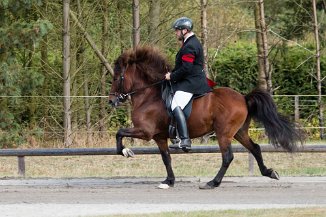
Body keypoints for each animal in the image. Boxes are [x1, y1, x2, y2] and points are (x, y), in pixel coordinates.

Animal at [108, 45, 304, 188]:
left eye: (116, 78)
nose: (111, 101)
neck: (148, 95)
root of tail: (243, 98)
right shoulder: (159, 137)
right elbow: (166, 158)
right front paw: (169, 181)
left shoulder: (145, 131)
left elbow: (119, 132)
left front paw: (125, 151)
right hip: (238, 132)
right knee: (255, 148)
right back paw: (269, 172)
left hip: (223, 133)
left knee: (227, 157)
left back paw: (213, 182)